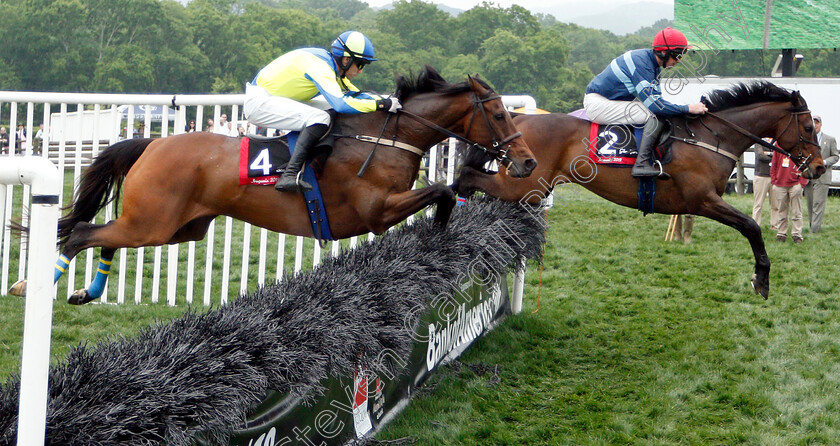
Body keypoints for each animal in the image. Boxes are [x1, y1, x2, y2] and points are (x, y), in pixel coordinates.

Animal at [9, 65, 540, 304]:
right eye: (498, 115)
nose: (528, 162)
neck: (385, 136)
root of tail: (152, 144)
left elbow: (445, 192)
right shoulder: (372, 211)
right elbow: (444, 192)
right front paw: (438, 236)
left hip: (175, 227)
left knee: (104, 239)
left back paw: (87, 291)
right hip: (154, 222)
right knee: (82, 234)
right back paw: (31, 284)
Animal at [456, 82, 824, 298]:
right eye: (808, 127)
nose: (820, 167)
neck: (712, 137)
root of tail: (518, 120)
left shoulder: (702, 202)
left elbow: (749, 227)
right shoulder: (703, 200)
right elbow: (751, 227)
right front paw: (761, 279)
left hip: (527, 186)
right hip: (524, 182)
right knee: (466, 176)